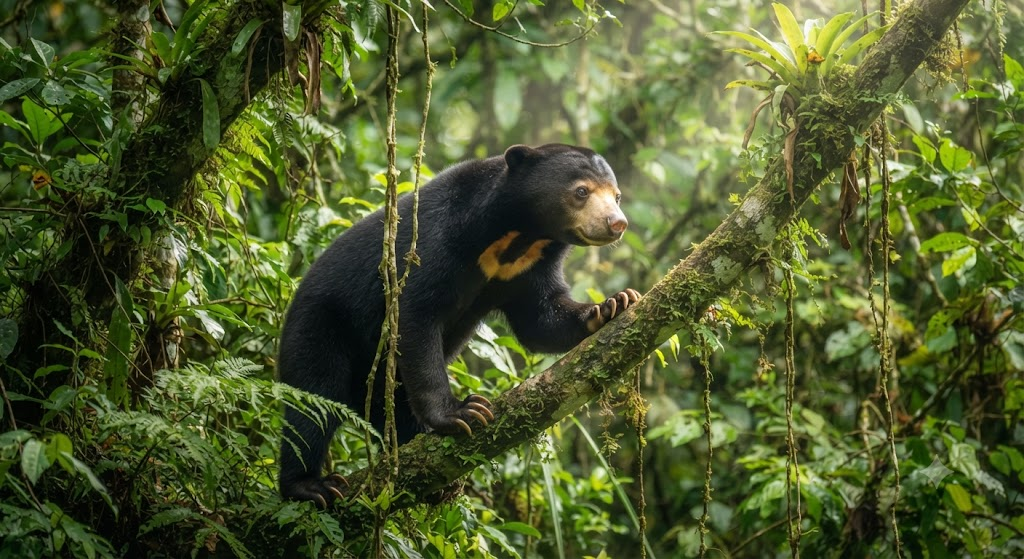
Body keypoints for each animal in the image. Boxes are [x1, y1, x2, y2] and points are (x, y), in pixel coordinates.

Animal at [277, 144, 641, 506]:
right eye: (581, 191)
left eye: (617, 196)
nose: (617, 223)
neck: (517, 236)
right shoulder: (435, 238)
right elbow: (415, 316)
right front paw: (462, 412)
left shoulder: (528, 267)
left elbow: (541, 318)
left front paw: (613, 304)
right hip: (319, 325)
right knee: (313, 400)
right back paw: (310, 486)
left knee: (386, 400)